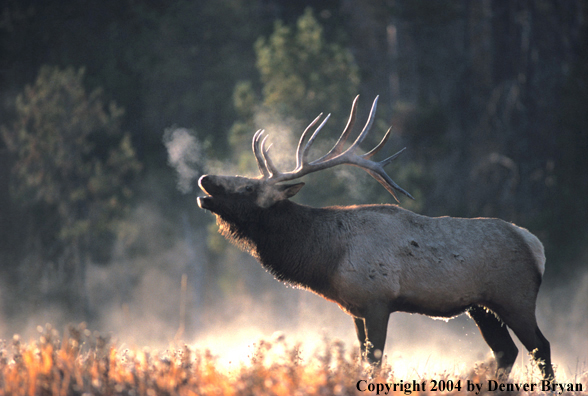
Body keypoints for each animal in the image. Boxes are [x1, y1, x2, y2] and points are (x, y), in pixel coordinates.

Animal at [199, 96, 556, 380]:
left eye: (248, 188)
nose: (204, 179)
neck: (327, 258)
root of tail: (535, 245)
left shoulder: (378, 300)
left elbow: (375, 362)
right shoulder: (356, 309)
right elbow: (363, 360)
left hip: (515, 298)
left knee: (540, 347)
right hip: (481, 307)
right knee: (506, 351)